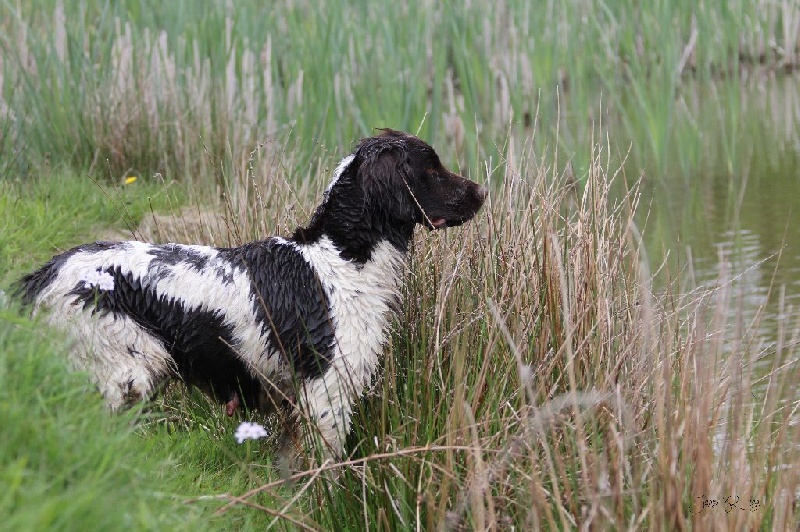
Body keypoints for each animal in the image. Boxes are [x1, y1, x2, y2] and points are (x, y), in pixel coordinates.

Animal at [17, 129, 488, 458]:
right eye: (431, 169)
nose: (483, 192)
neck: (341, 259)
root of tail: (46, 273)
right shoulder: (325, 389)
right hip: (126, 371)